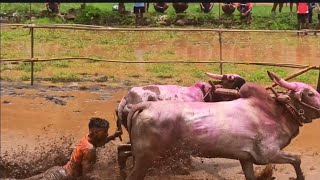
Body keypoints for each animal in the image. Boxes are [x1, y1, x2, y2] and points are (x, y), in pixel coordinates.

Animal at [126, 71, 318, 180]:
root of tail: (146, 105)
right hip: (145, 157)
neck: (276, 113)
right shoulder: (268, 155)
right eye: (310, 93)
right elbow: (297, 159)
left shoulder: (246, 158)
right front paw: (300, 177)